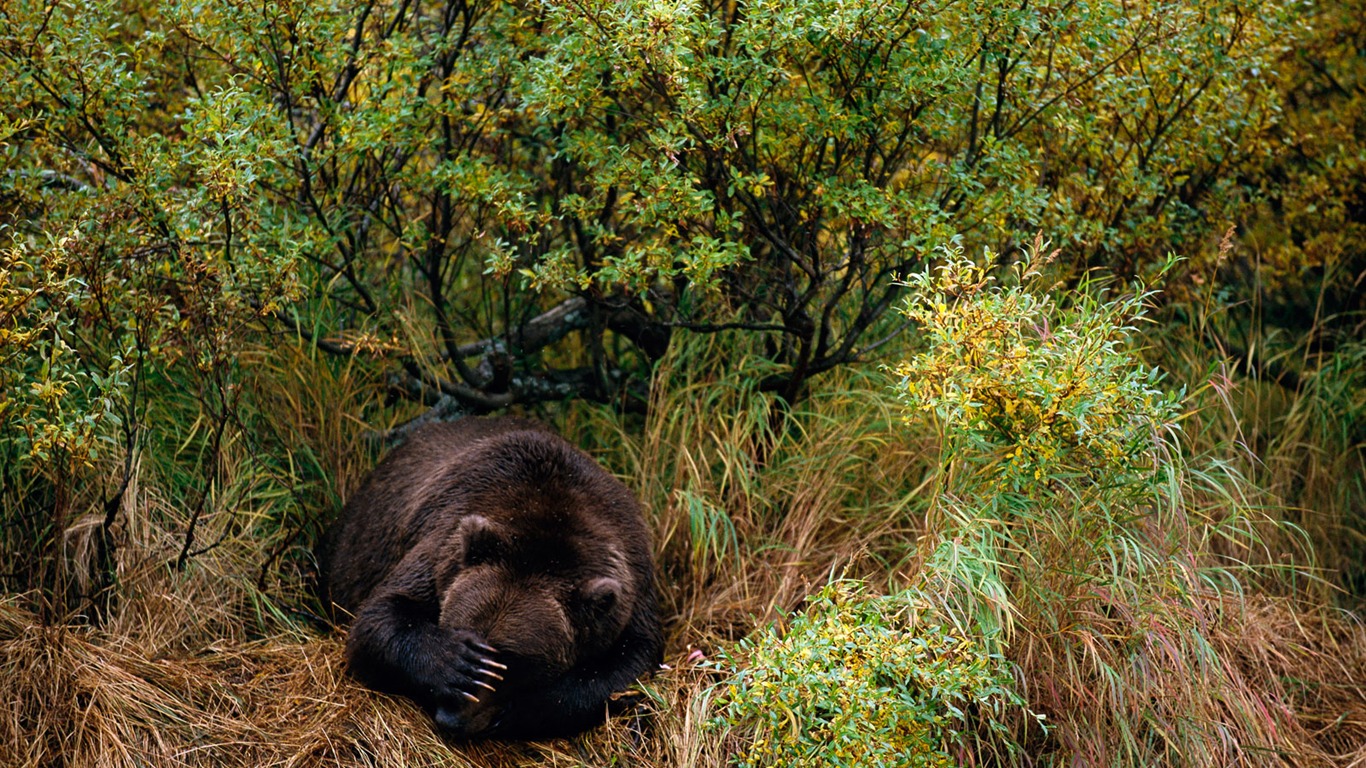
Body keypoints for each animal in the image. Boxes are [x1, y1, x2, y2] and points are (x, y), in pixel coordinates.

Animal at [319, 415, 661, 737]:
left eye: (513, 660)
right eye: (459, 629)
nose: (451, 718)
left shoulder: (629, 584)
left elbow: (631, 662)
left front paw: (521, 709)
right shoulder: (445, 544)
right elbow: (380, 616)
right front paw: (456, 664)